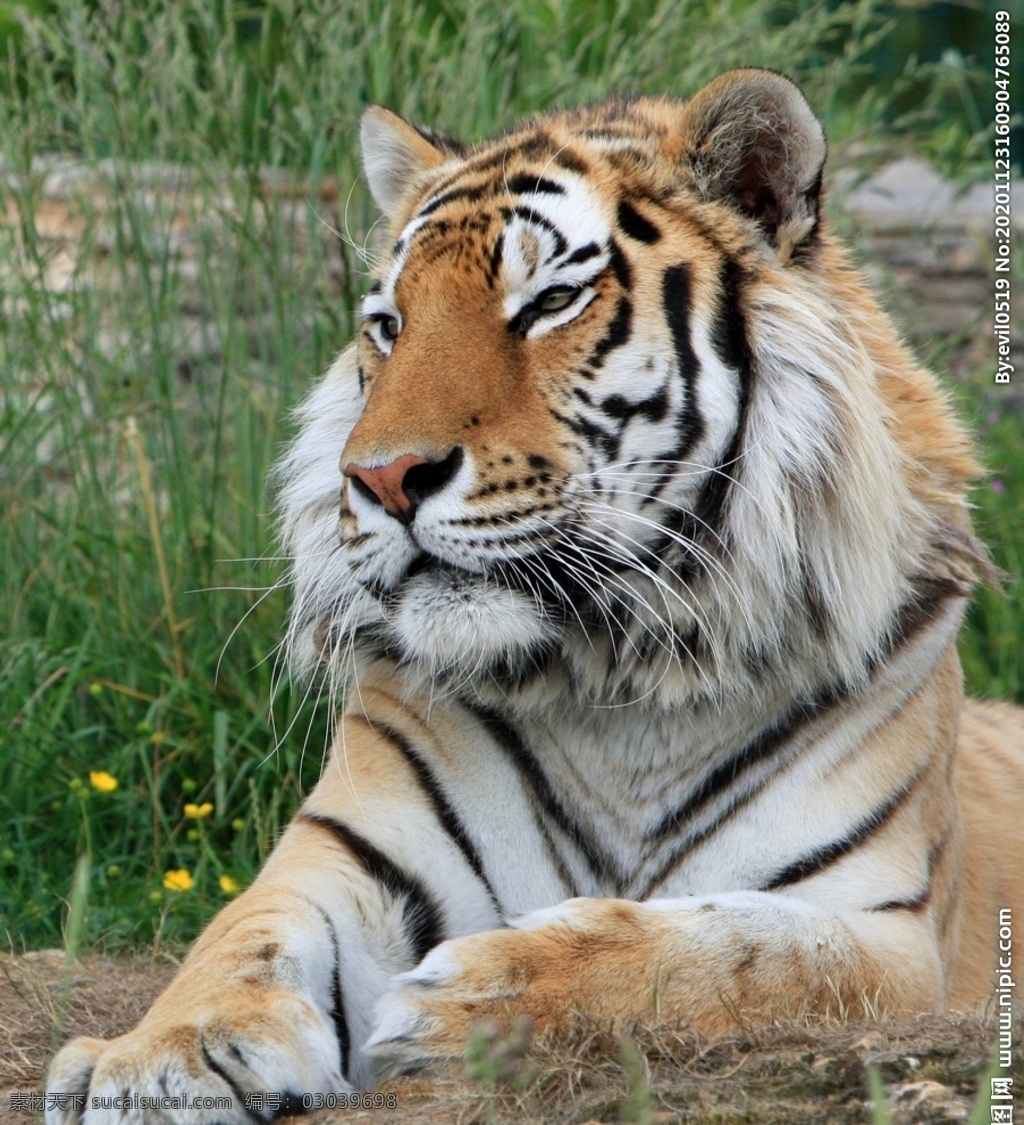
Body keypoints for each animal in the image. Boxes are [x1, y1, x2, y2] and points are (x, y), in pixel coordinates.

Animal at [47, 68, 1024, 1124]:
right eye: (388, 324)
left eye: (550, 301)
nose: (381, 477)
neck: (627, 675)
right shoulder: (347, 854)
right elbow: (237, 938)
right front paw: (159, 1057)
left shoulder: (883, 928)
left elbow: (725, 951)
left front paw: (473, 998)